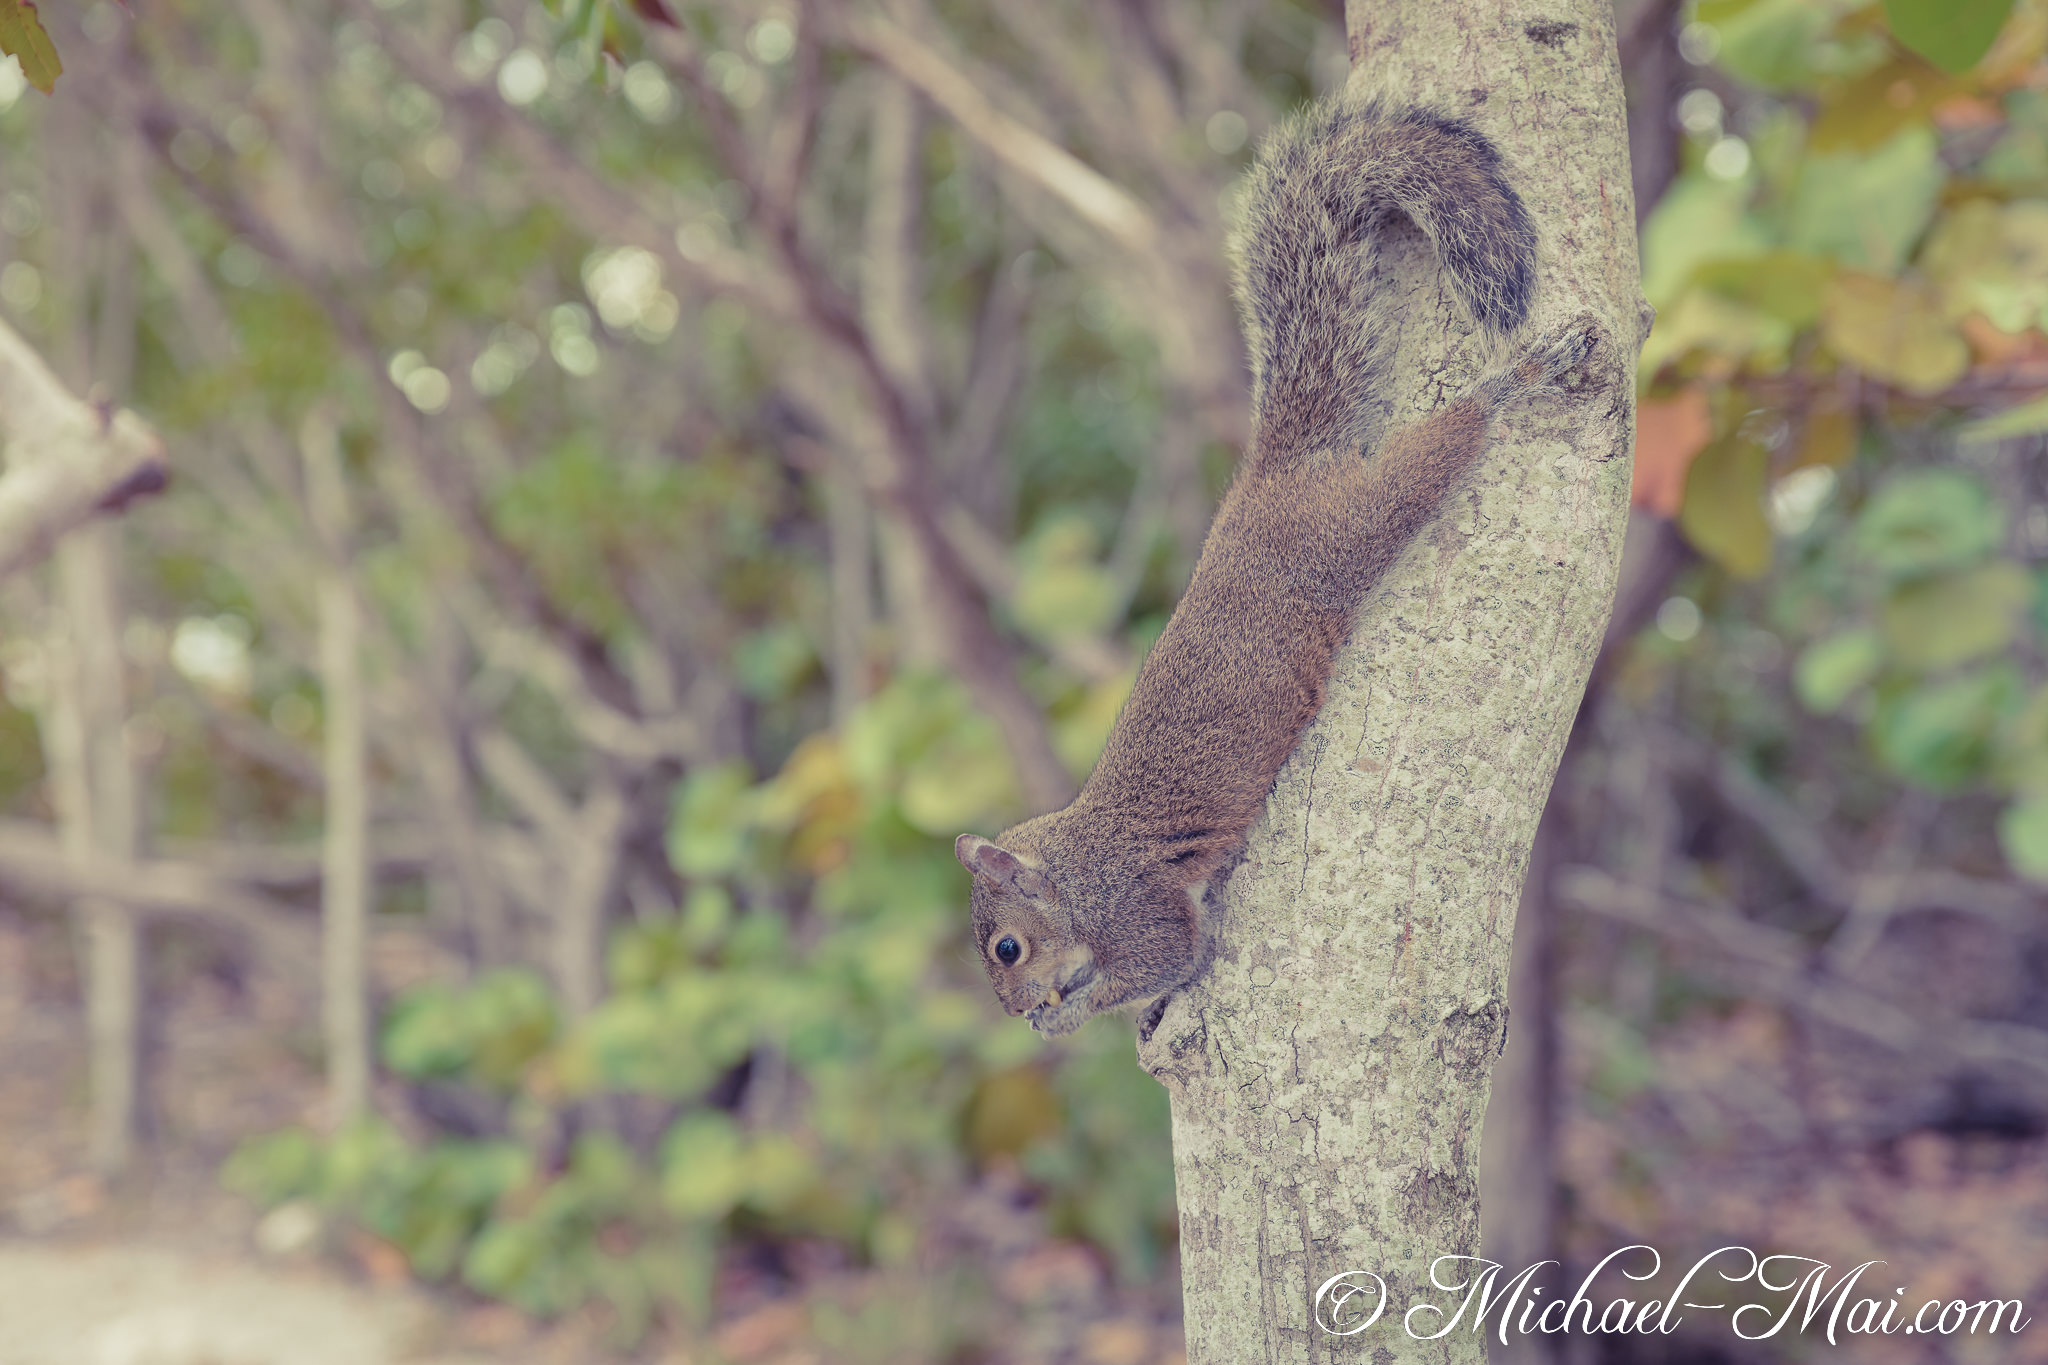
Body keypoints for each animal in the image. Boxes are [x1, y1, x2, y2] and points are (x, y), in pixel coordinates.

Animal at [956, 96, 1594, 1037]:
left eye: (1008, 948)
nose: (1024, 1018)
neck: (1077, 871)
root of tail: (1273, 474)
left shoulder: (1140, 913)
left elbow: (1169, 960)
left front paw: (1092, 1012)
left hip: (1347, 530)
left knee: (1439, 451)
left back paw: (1515, 380)